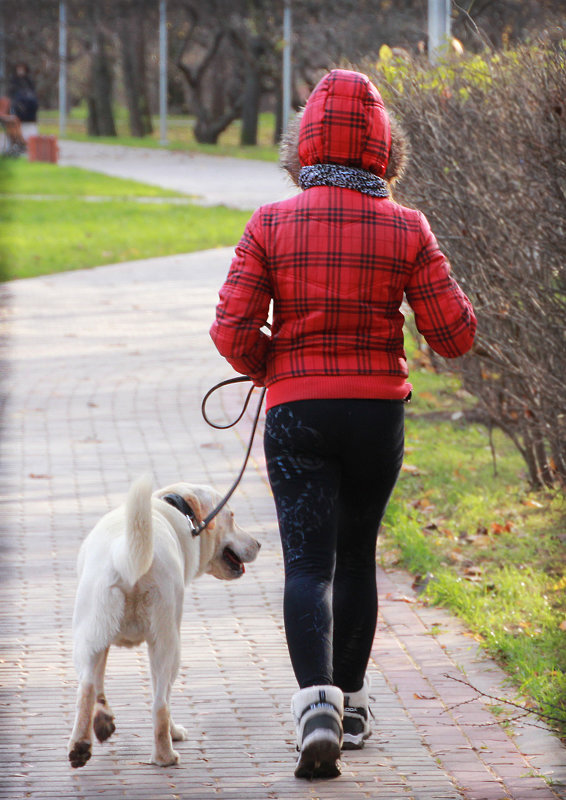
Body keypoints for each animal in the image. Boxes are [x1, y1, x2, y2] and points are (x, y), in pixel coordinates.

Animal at [69, 476, 262, 768]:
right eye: (231, 516)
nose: (258, 544)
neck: (172, 507)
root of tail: (127, 558)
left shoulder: (100, 642)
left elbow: (98, 683)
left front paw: (103, 719)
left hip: (89, 636)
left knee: (86, 689)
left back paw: (82, 743)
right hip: (169, 643)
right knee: (161, 703)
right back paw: (165, 754)